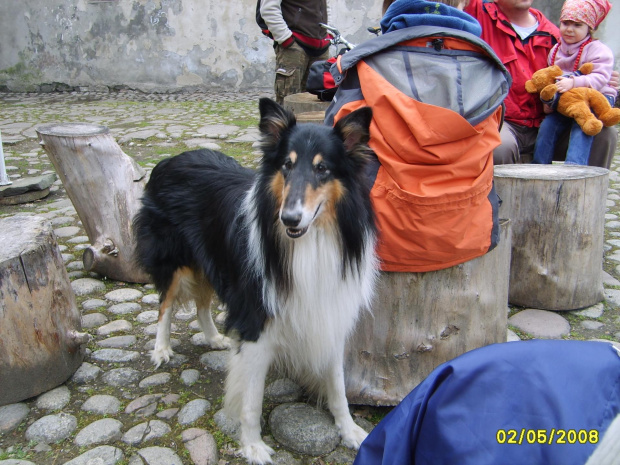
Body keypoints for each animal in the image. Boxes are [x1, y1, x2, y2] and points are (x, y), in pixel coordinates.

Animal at [134, 97, 378, 460]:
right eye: (287, 165)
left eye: (322, 169)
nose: (289, 218)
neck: (311, 242)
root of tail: (172, 158)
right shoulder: (256, 320)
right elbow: (251, 397)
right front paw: (252, 445)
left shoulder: (328, 314)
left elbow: (338, 387)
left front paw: (350, 431)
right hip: (174, 261)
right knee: (165, 304)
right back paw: (161, 349)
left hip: (212, 263)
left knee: (202, 304)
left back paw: (214, 338)